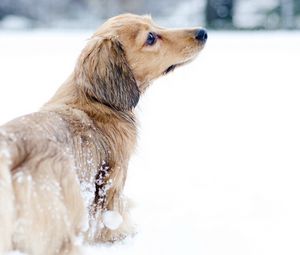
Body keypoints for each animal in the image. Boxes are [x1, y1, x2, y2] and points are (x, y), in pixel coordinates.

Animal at [0, 13, 206, 255]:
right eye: (150, 38)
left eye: (154, 23)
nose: (203, 32)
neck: (95, 99)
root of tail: (12, 151)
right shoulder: (113, 180)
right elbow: (112, 216)